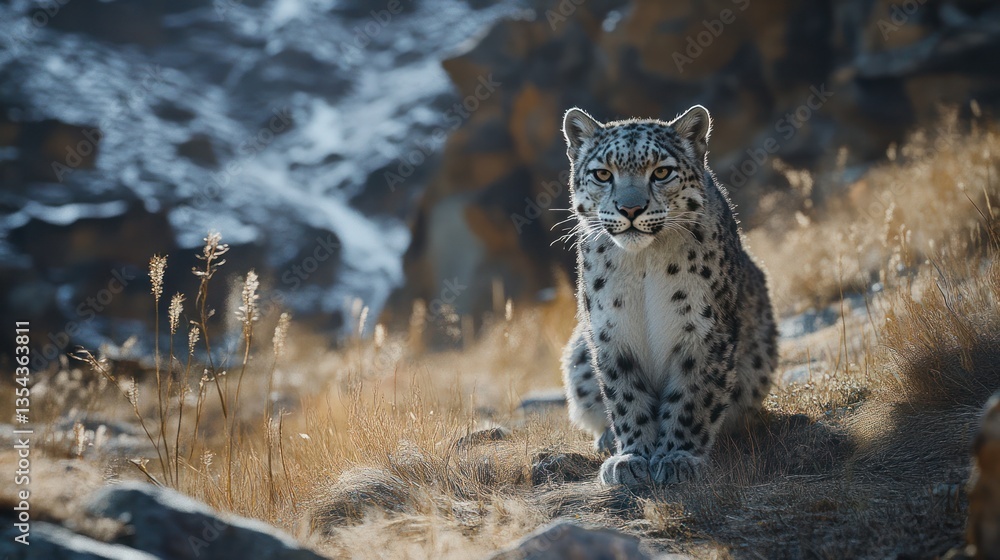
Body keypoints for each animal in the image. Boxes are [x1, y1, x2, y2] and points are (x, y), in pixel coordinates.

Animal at [559, 105, 778, 486]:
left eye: (661, 171)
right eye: (603, 173)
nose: (630, 209)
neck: (644, 263)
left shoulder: (703, 332)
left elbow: (692, 397)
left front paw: (678, 457)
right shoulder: (611, 331)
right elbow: (625, 396)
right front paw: (631, 457)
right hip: (578, 352)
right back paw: (607, 441)